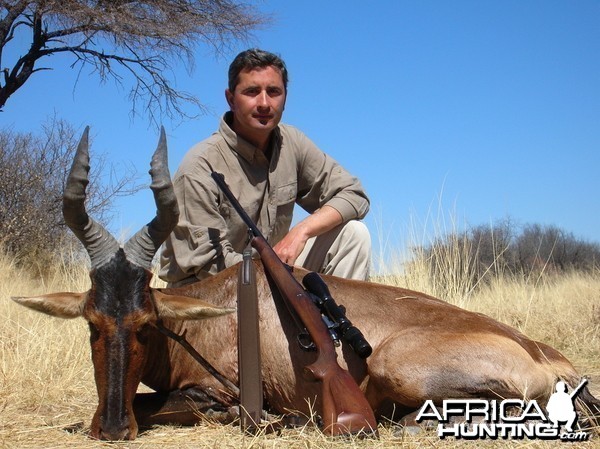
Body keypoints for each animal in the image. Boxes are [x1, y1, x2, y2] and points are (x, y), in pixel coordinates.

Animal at [11, 128, 596, 440]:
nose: (111, 427)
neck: (210, 311)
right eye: (92, 321)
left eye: (145, 321)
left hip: (397, 365)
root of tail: (543, 353)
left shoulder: (216, 388)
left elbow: (177, 403)